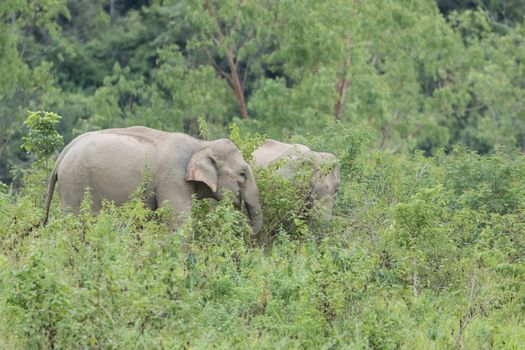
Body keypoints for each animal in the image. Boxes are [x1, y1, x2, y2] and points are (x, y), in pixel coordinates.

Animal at [42, 126, 262, 232]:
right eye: (243, 174)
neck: (200, 144)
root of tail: (65, 151)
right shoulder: (173, 180)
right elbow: (179, 223)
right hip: (76, 184)